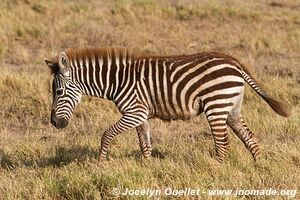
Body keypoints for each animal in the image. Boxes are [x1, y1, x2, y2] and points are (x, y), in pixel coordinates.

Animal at [44, 47, 290, 162]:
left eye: (58, 92)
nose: (54, 123)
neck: (117, 81)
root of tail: (234, 62)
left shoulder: (134, 112)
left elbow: (107, 135)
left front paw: (100, 163)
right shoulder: (141, 115)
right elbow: (145, 143)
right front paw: (147, 168)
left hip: (216, 105)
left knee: (223, 144)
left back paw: (217, 169)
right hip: (232, 108)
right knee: (249, 137)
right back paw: (258, 167)